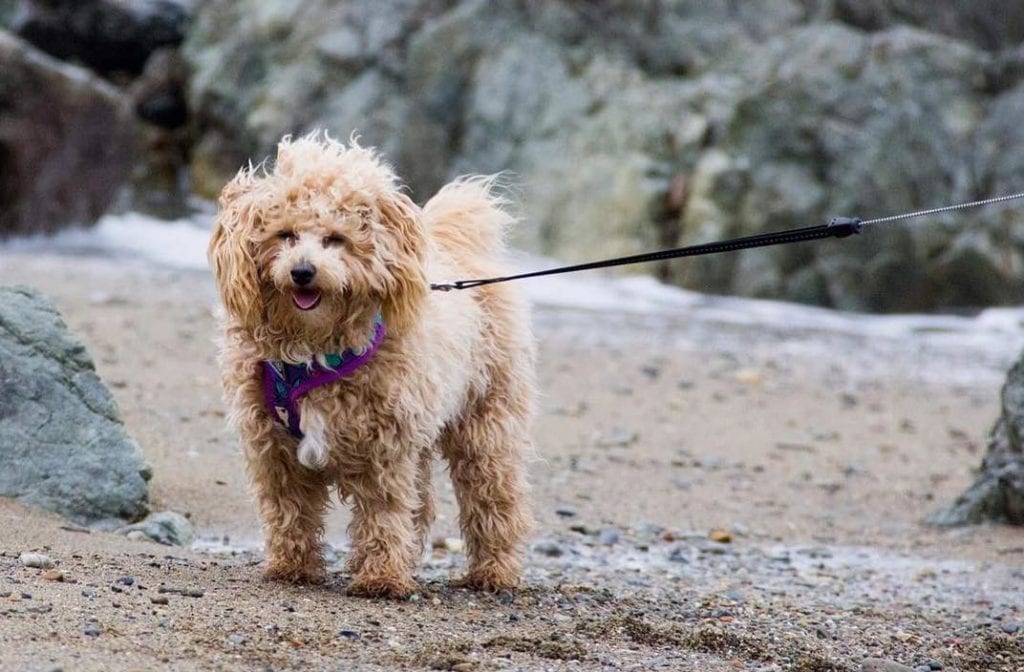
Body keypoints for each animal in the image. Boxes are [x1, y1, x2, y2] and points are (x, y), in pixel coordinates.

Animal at [211, 132, 540, 598]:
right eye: (285, 234)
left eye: (335, 239)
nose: (302, 271)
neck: (313, 347)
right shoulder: (274, 446)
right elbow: (288, 508)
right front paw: (291, 566)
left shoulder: (383, 447)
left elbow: (383, 511)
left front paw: (381, 577)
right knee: (422, 505)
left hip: (485, 423)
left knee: (493, 497)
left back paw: (494, 572)